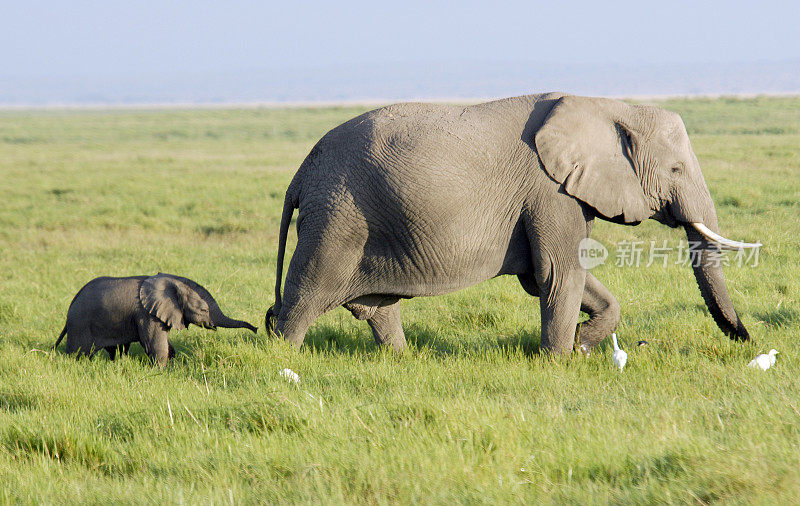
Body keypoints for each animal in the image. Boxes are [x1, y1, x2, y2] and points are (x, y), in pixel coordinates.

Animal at [55, 274, 256, 366]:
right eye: (204, 310)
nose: (256, 329)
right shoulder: (146, 314)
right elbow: (156, 344)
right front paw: (160, 371)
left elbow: (166, 345)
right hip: (80, 325)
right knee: (78, 353)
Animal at [266, 96, 760, 356]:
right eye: (676, 170)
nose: (745, 337)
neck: (605, 105)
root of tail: (300, 174)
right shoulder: (550, 192)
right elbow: (559, 274)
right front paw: (561, 361)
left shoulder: (559, 194)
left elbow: (557, 277)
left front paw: (582, 343)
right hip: (337, 218)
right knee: (305, 295)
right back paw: (281, 359)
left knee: (374, 307)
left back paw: (401, 360)